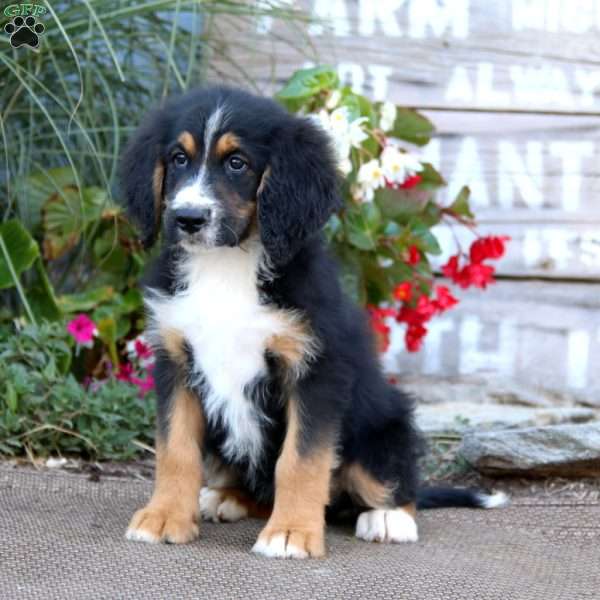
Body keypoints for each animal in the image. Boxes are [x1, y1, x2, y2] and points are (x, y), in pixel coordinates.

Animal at [122, 86, 506, 560]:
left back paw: (387, 517)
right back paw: (224, 497)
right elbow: (175, 449)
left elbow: (300, 460)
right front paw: (164, 517)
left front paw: (290, 532)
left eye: (237, 163)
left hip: (385, 423)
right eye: (178, 158)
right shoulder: (176, 361)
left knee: (395, 483)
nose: (188, 218)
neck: (227, 266)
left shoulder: (316, 370)